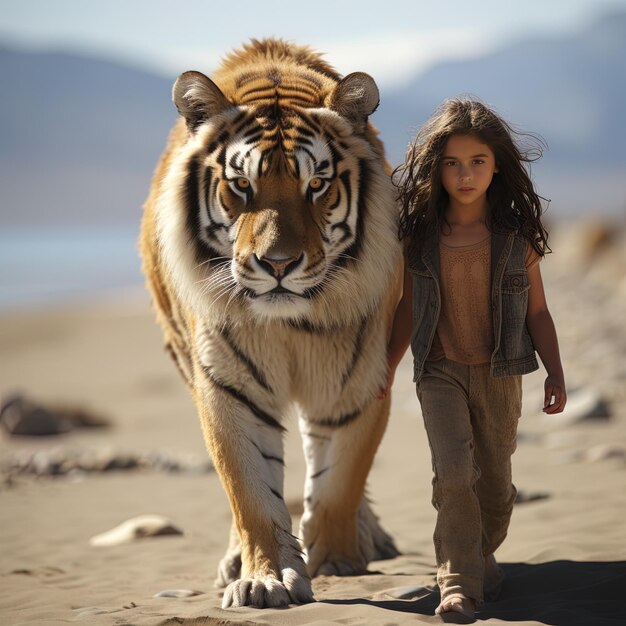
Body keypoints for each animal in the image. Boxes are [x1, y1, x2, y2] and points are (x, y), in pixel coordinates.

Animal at [140, 37, 402, 604]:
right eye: (241, 185)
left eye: (317, 184)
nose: (278, 264)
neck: (291, 325)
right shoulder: (229, 388)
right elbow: (250, 492)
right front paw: (265, 578)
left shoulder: (359, 380)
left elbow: (340, 482)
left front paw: (337, 560)